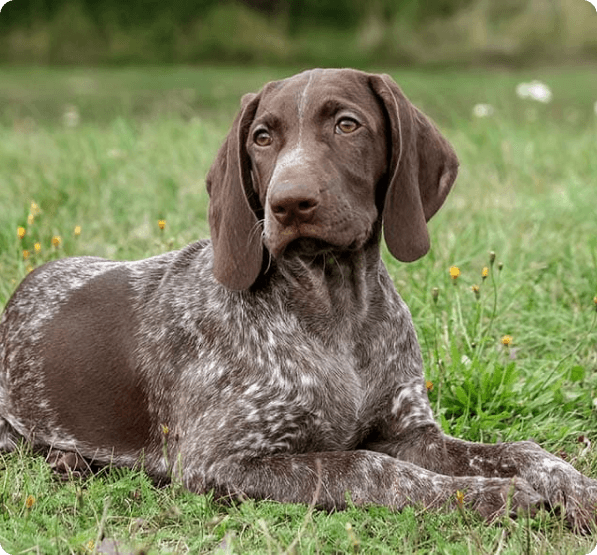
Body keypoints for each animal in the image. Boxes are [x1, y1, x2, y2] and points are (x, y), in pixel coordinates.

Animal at [0, 69, 592, 528]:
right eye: (262, 137)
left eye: (347, 124)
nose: (288, 203)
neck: (337, 310)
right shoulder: (221, 460)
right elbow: (369, 468)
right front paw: (495, 495)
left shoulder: (410, 432)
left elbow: (519, 451)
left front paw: (573, 486)